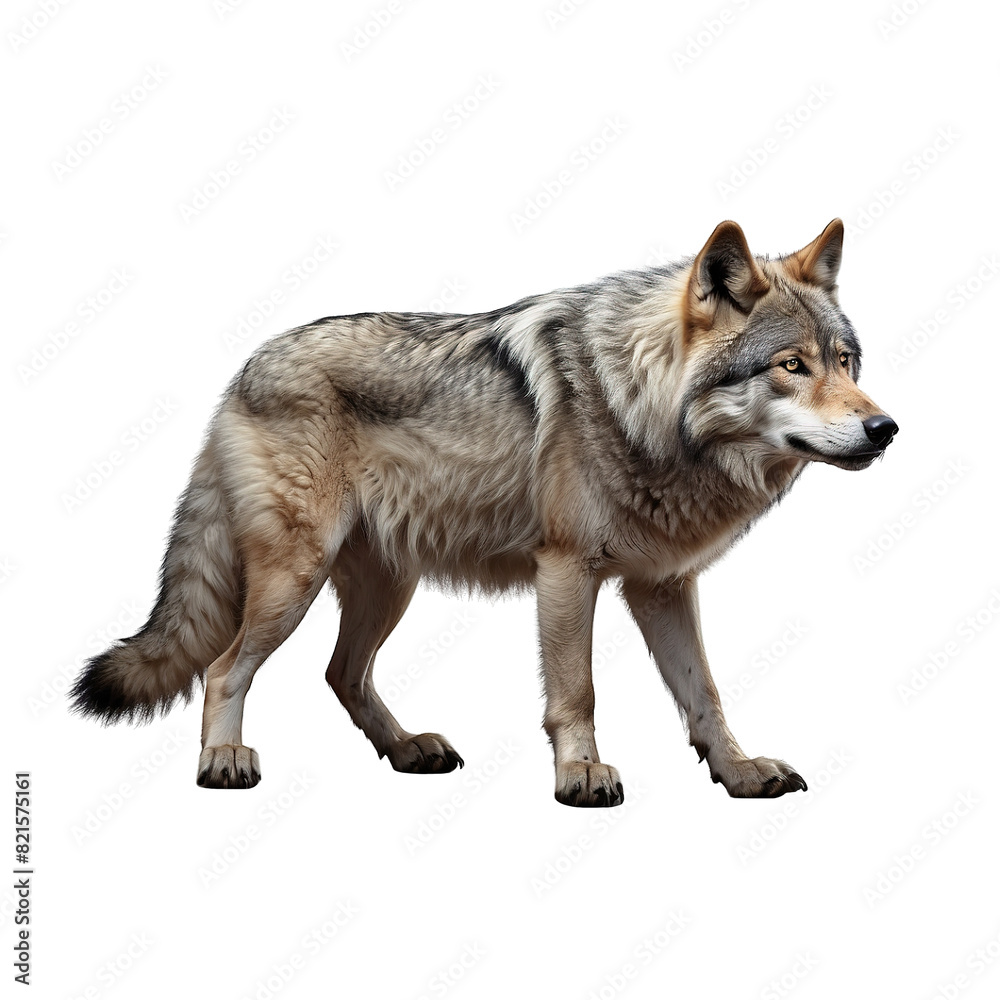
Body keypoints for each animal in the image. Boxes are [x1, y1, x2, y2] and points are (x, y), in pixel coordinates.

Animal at [71, 219, 897, 806]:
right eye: (791, 366)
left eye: (845, 362)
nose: (885, 428)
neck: (641, 404)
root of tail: (241, 371)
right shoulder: (565, 570)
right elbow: (577, 690)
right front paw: (581, 777)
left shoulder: (661, 586)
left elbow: (706, 695)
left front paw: (740, 772)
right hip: (293, 581)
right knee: (222, 668)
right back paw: (222, 761)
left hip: (386, 588)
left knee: (340, 673)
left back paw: (407, 749)